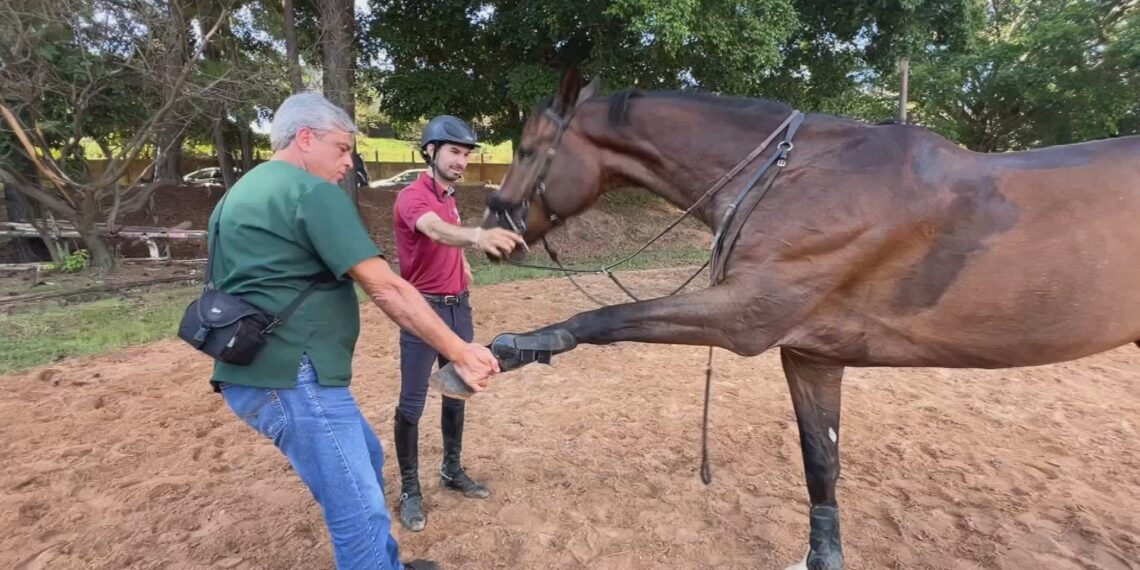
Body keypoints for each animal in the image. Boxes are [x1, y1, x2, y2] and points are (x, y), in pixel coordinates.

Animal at [471, 68, 1140, 569]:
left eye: (527, 150)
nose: (491, 233)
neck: (796, 178)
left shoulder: (745, 319)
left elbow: (605, 316)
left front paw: (513, 348)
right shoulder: (811, 353)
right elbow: (821, 463)